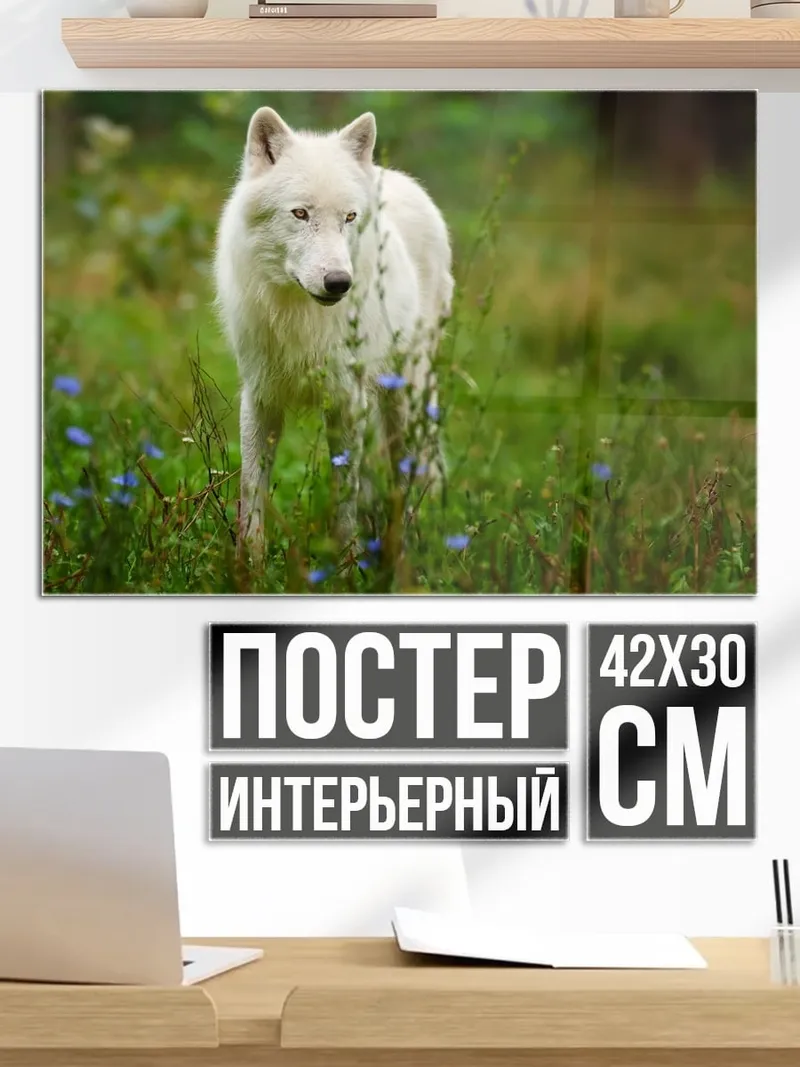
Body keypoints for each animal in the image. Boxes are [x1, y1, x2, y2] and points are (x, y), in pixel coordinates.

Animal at [214, 105, 454, 552]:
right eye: (300, 213)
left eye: (349, 217)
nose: (339, 283)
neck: (300, 317)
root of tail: (393, 175)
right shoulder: (259, 397)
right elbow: (252, 490)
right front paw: (248, 562)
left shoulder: (347, 400)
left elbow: (346, 494)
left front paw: (346, 558)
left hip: (406, 396)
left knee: (407, 476)